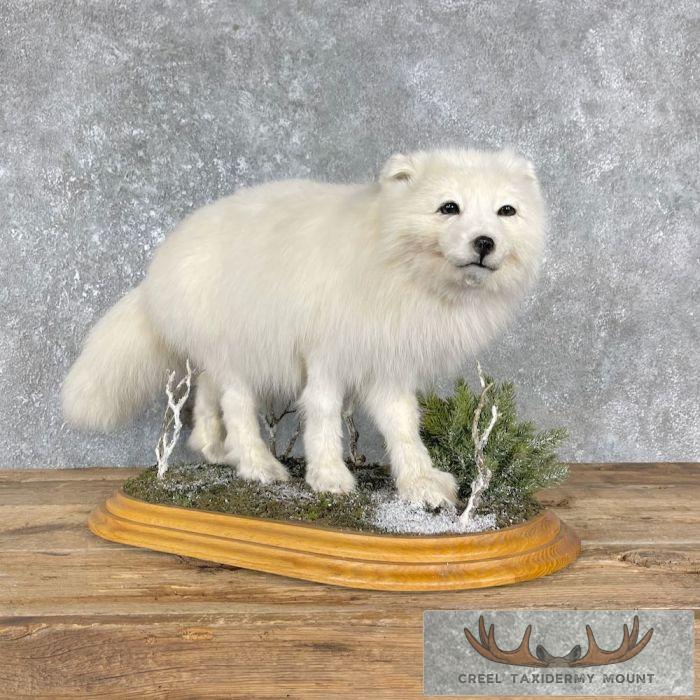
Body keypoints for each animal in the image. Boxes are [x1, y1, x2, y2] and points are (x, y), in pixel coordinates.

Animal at [62, 148, 545, 507]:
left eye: (506, 211)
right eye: (449, 207)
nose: (485, 242)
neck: (393, 268)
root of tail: (156, 272)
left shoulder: (389, 365)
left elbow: (404, 425)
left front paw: (421, 483)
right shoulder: (327, 355)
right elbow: (324, 411)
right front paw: (329, 476)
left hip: (220, 355)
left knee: (207, 395)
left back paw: (213, 449)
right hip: (238, 353)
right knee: (237, 405)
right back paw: (258, 466)